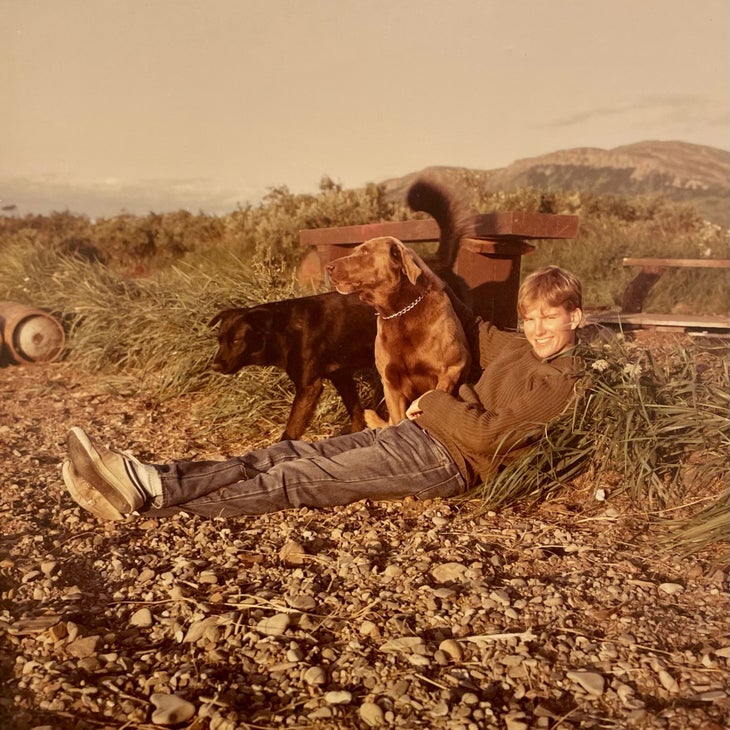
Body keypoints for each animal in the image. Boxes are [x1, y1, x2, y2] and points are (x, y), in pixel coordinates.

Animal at [206, 290, 372, 438]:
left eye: (236, 341)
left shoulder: (309, 387)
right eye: (219, 340)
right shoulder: (341, 377)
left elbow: (290, 431)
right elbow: (356, 413)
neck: (282, 332)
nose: (214, 367)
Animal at [322, 236, 466, 424]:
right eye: (355, 250)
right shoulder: (391, 385)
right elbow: (399, 419)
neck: (399, 312)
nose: (328, 267)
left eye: (365, 252)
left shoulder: (451, 370)